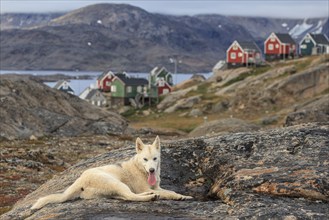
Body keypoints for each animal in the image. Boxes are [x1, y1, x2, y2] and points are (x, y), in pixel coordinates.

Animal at [31, 136, 192, 210]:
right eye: (145, 159)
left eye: (155, 159)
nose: (152, 170)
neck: (140, 168)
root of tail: (81, 179)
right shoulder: (147, 187)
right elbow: (167, 193)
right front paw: (177, 196)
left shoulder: (157, 186)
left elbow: (170, 191)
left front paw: (183, 196)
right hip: (116, 183)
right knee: (131, 196)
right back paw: (150, 197)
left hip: (114, 189)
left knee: (125, 196)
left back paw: (150, 195)